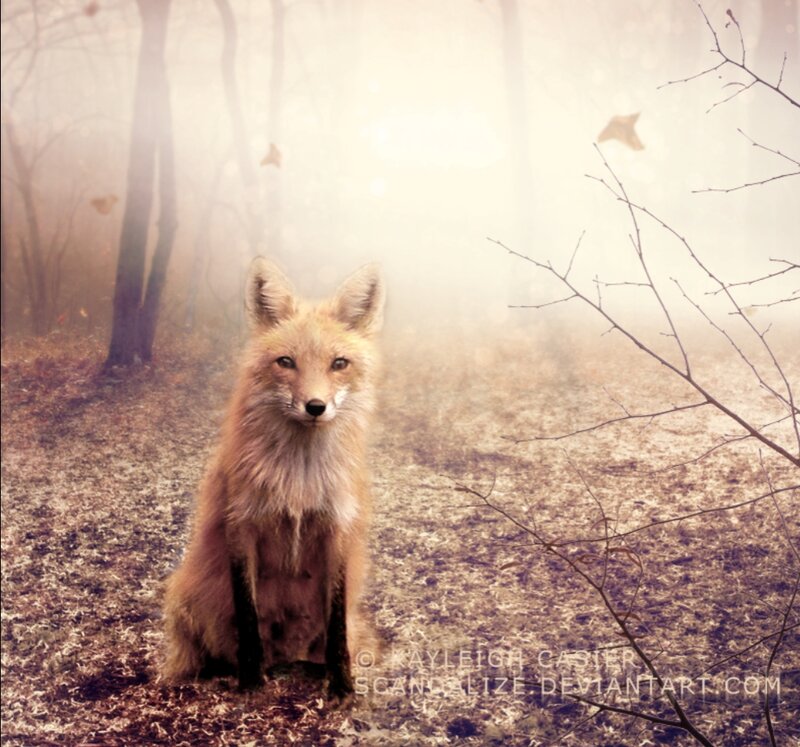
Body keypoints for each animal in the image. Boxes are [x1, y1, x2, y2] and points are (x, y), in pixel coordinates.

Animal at [162, 258, 384, 698]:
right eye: (286, 362)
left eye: (339, 364)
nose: (315, 406)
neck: (299, 478)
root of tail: (287, 654)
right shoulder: (240, 526)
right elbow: (247, 618)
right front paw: (250, 682)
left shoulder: (336, 531)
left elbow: (336, 628)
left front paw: (342, 688)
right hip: (183, 597)